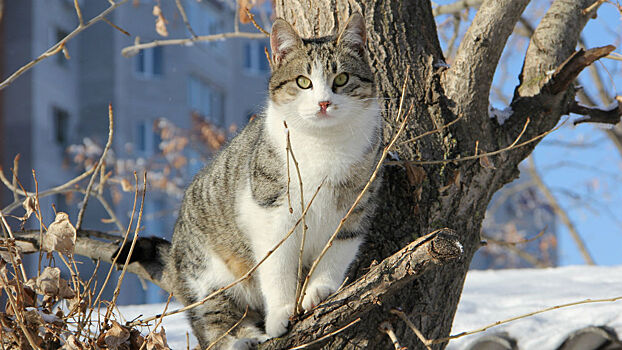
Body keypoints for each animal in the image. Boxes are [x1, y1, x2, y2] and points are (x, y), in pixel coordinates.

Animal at [122, 12, 382, 348]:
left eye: (341, 79)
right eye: (303, 82)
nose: (324, 103)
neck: (323, 145)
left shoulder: (355, 209)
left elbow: (335, 255)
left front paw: (318, 290)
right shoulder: (271, 216)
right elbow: (277, 269)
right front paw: (281, 313)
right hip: (209, 275)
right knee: (213, 318)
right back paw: (240, 338)